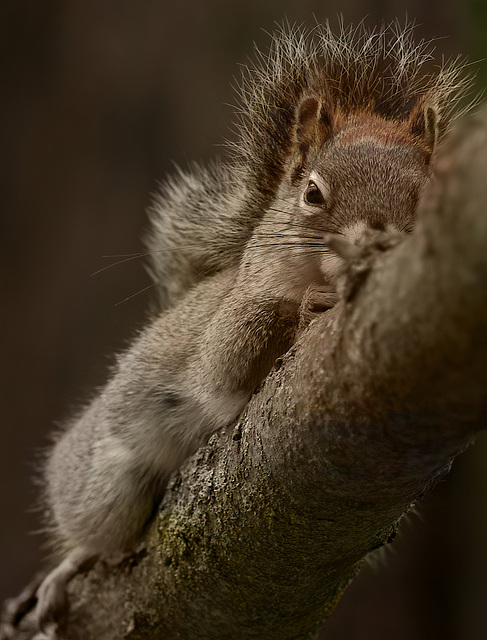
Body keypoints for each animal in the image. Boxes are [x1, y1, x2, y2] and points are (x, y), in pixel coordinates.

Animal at [29, 22, 470, 630]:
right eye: (312, 192)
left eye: (427, 192)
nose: (373, 238)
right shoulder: (229, 319)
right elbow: (228, 357)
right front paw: (314, 301)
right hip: (103, 477)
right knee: (95, 529)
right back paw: (67, 566)